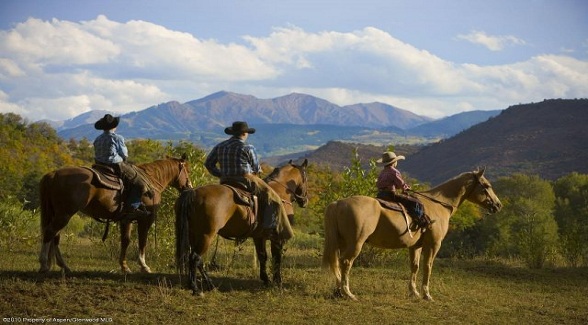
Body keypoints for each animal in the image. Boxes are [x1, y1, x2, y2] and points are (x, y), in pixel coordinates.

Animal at [37, 154, 193, 274]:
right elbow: (142, 241)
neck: (151, 181)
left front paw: (124, 267)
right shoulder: (146, 219)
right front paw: (144, 266)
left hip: (59, 214)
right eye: (187, 170)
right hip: (64, 214)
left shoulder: (126, 219)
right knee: (50, 233)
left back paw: (63, 266)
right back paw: (44, 264)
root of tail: (53, 174)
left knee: (55, 236)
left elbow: (125, 241)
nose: (189, 186)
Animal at [175, 159, 310, 294]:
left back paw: (208, 285)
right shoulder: (278, 238)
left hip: (193, 234)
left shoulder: (259, 237)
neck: (280, 191)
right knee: (195, 257)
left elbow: (263, 256)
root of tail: (193, 192)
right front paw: (278, 282)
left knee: (196, 259)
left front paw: (266, 280)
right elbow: (276, 259)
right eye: (306, 178)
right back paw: (196, 288)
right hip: (206, 235)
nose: (305, 201)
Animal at [322, 168, 500, 300]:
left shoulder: (415, 246)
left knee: (337, 262)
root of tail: (338, 203)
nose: (498, 205)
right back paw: (348, 293)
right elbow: (428, 266)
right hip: (355, 243)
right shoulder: (433, 245)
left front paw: (413, 292)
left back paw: (338, 292)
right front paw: (426, 294)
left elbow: (415, 266)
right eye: (486, 185)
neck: (438, 204)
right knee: (346, 262)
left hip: (341, 242)